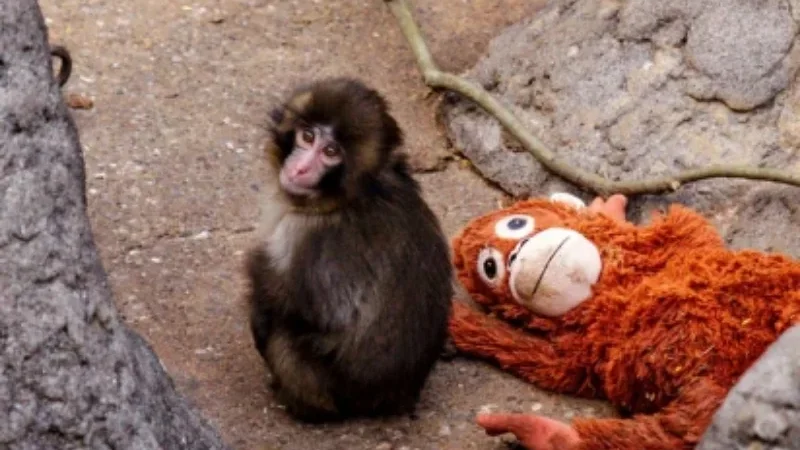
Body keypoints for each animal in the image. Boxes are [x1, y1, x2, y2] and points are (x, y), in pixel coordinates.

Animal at [245, 77, 454, 423]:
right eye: (307, 136)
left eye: (331, 152)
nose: (300, 169)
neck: (350, 197)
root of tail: (396, 398)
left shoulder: (304, 234)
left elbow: (313, 312)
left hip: (329, 392)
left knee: (283, 335)